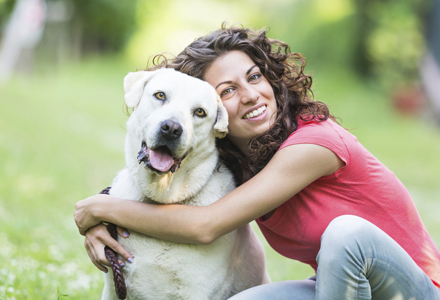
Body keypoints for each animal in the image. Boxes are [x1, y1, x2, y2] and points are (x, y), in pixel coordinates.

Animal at [102, 68, 268, 300]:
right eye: (160, 95)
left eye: (199, 112)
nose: (171, 128)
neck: (160, 201)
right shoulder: (112, 287)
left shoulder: (196, 291)